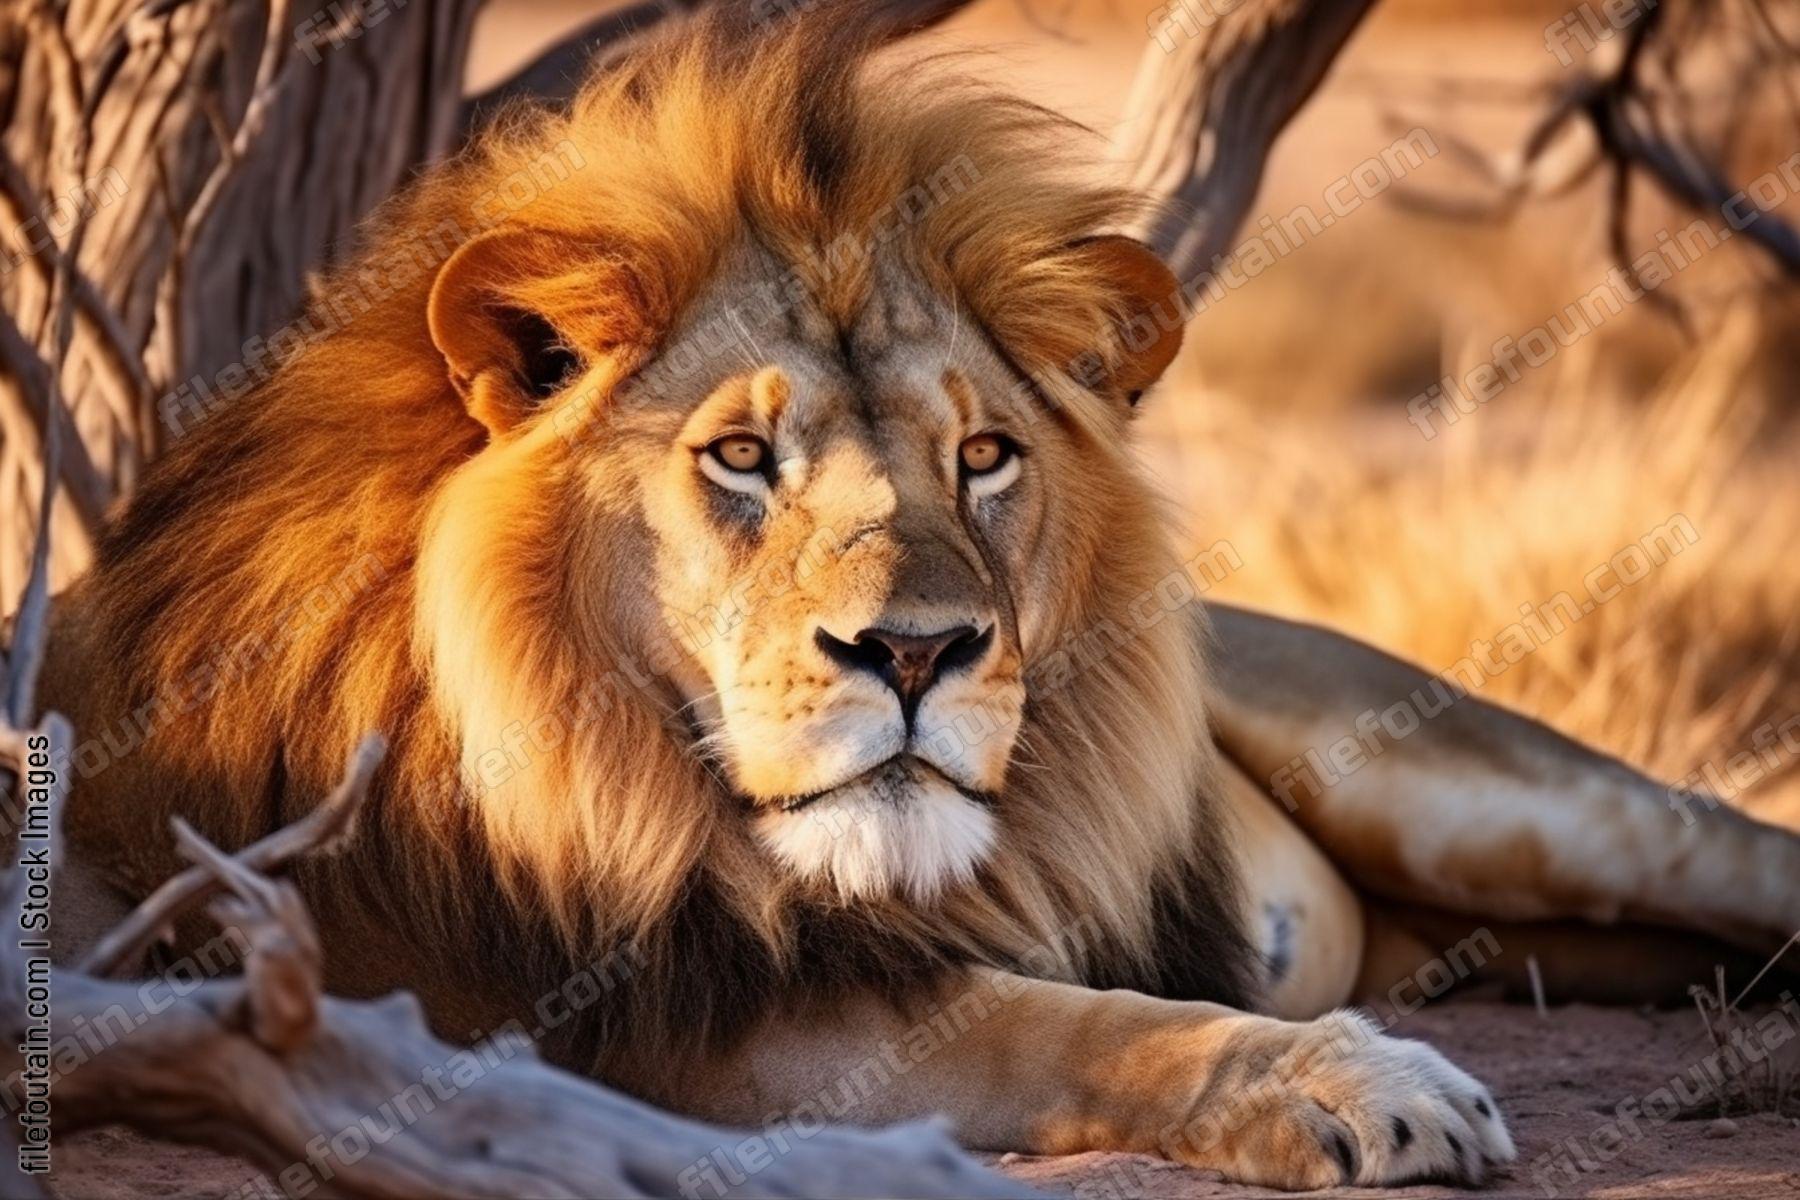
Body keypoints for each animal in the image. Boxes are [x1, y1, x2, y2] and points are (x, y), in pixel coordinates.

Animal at [32, 9, 1800, 1191]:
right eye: (741, 456)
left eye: (986, 455)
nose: (918, 651)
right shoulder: (649, 1019)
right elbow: (1071, 1025)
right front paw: (1355, 1085)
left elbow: (1079, 1013)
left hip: (1493, 795)